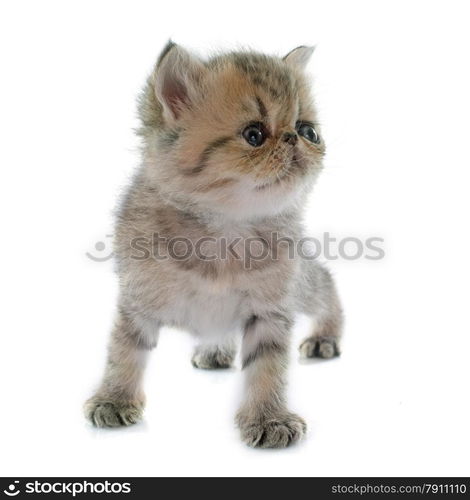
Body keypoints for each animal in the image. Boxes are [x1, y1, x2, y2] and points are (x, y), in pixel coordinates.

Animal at [83, 42, 342, 450]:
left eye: (308, 131)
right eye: (254, 134)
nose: (293, 137)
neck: (225, 231)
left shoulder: (271, 308)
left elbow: (268, 367)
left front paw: (268, 418)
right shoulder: (137, 299)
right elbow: (124, 352)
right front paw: (115, 399)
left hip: (304, 286)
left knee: (326, 285)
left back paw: (325, 337)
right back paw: (215, 350)